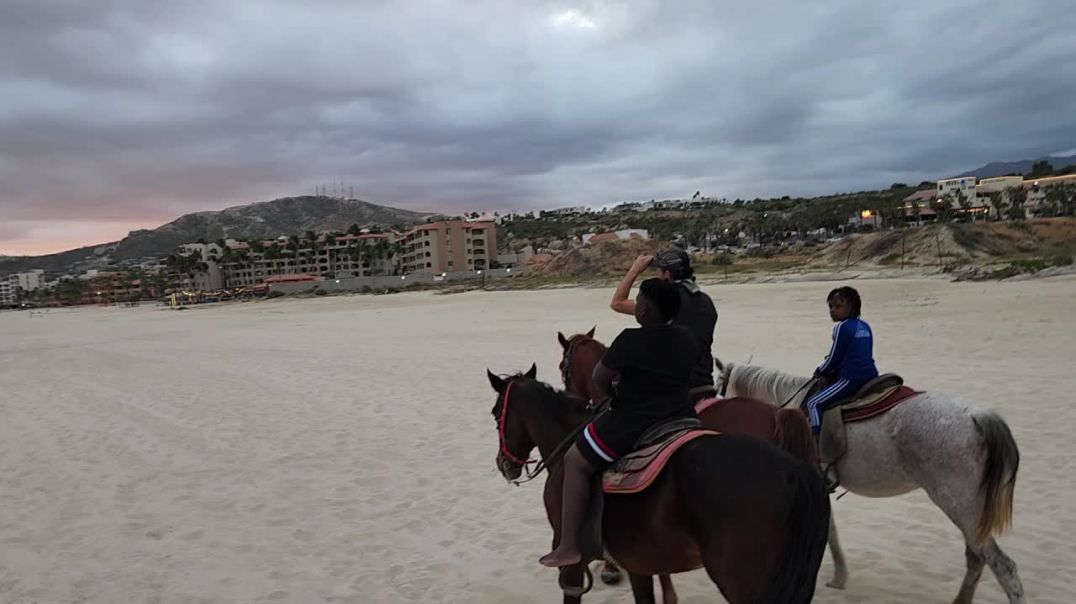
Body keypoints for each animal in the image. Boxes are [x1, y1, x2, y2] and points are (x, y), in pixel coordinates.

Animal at [714, 357, 1024, 602]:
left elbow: (828, 530)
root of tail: (977, 417)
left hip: (960, 506)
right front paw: (840, 575)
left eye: (718, 385)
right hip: (970, 512)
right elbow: (831, 530)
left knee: (1003, 567)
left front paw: (836, 575)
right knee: (977, 559)